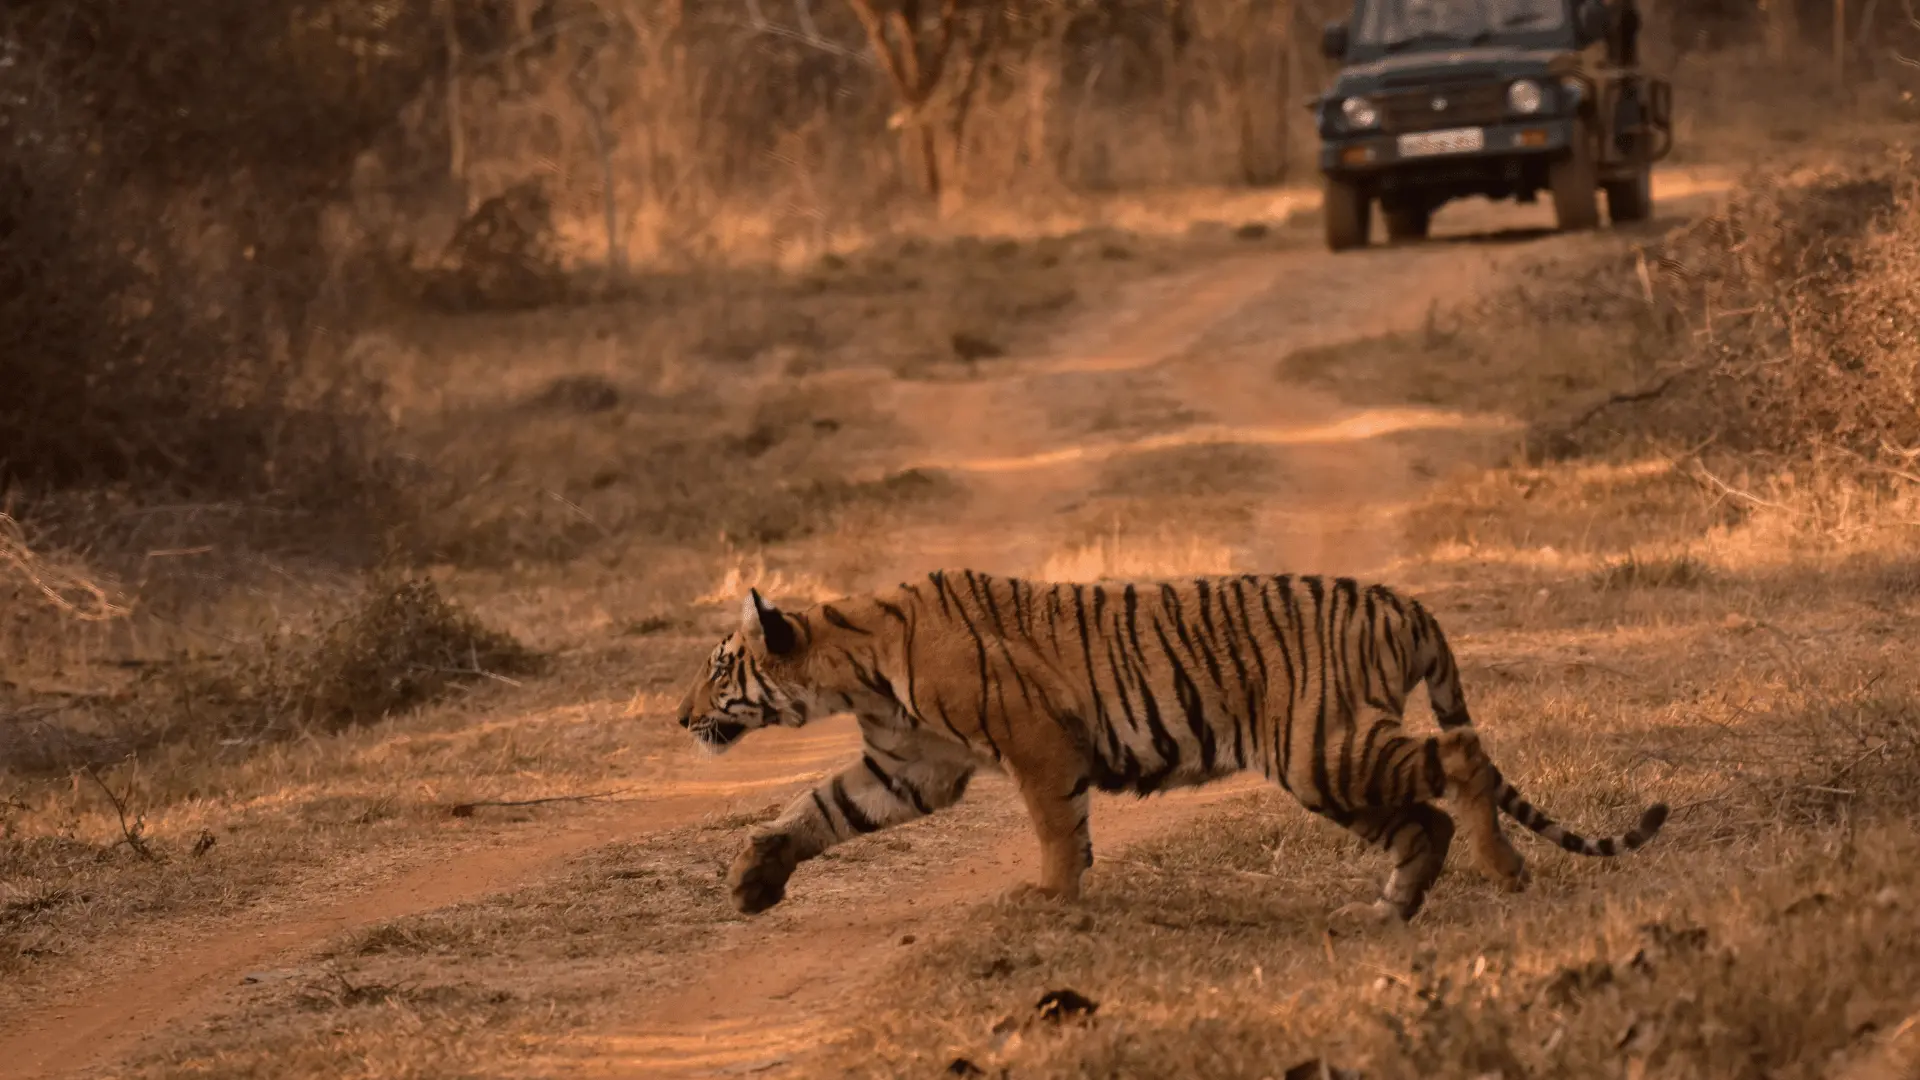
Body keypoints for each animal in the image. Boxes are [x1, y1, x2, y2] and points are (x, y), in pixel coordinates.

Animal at [674, 570, 1668, 928]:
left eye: (718, 669)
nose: (679, 720)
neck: (852, 667)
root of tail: (1402, 600)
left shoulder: (1035, 745)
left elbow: (1054, 827)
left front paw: (1049, 897)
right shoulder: (912, 766)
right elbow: (820, 808)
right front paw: (753, 879)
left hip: (1322, 747)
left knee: (1461, 760)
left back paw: (1505, 872)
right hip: (1330, 766)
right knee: (1424, 817)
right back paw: (1390, 906)